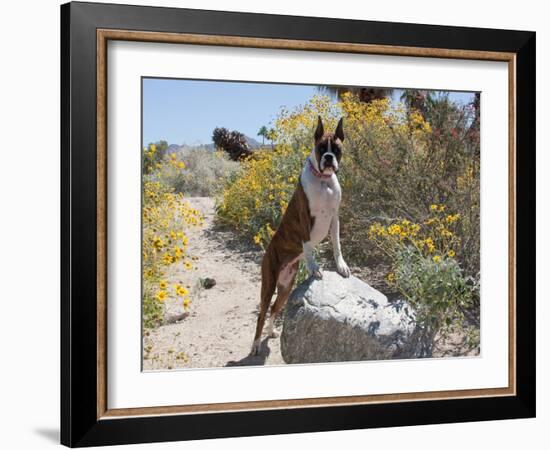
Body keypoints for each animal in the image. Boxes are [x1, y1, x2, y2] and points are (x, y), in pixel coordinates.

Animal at [252, 116, 352, 356]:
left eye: (336, 149)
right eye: (321, 148)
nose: (328, 158)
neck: (323, 180)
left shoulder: (335, 218)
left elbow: (337, 245)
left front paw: (341, 266)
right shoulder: (304, 217)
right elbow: (307, 245)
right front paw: (314, 267)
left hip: (286, 287)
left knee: (273, 309)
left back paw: (271, 333)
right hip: (268, 285)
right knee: (262, 313)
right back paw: (256, 344)